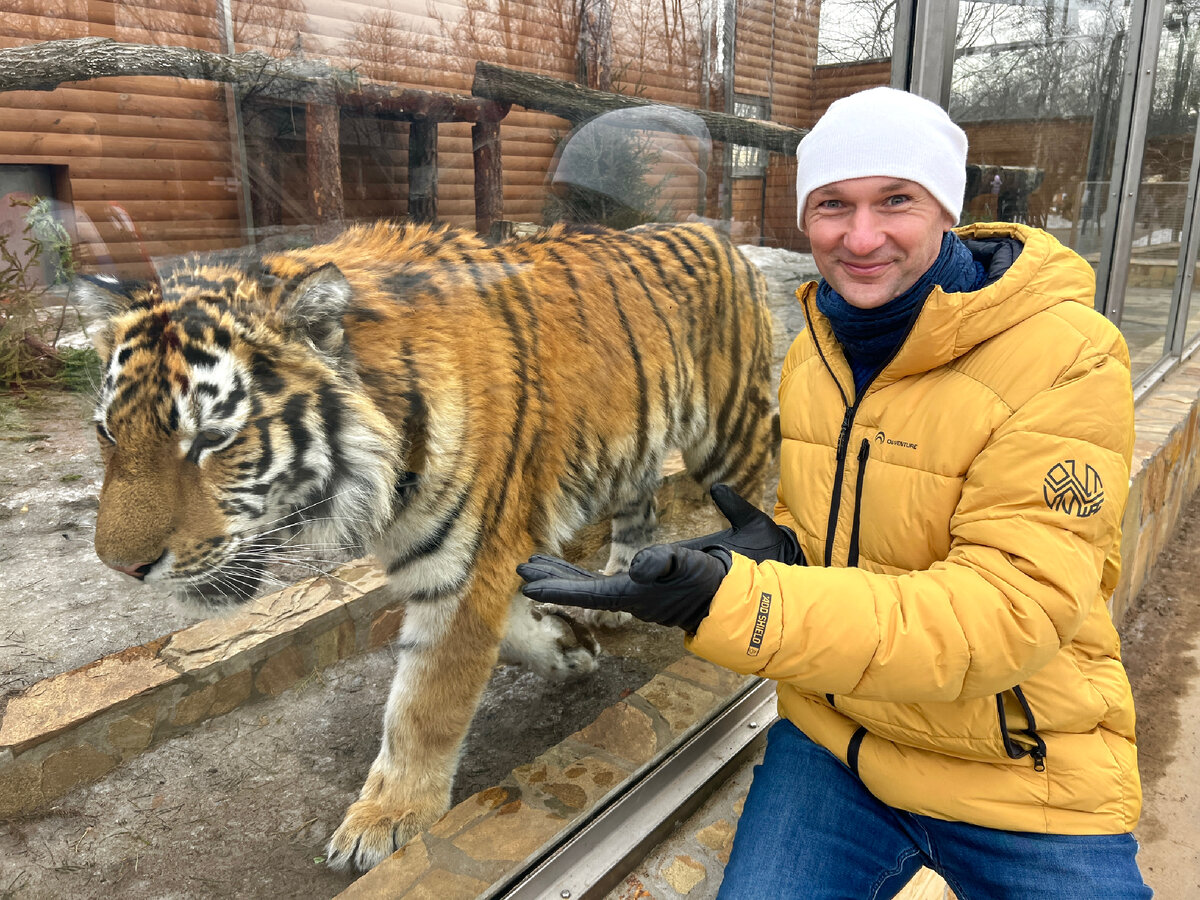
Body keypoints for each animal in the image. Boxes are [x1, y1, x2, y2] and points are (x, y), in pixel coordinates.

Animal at [82, 220, 777, 873]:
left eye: (211, 440)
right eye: (109, 433)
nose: (120, 566)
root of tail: (720, 233)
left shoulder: (467, 565)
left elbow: (424, 703)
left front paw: (387, 819)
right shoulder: (473, 559)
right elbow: (508, 630)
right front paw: (568, 647)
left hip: (730, 437)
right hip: (633, 451)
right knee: (640, 509)